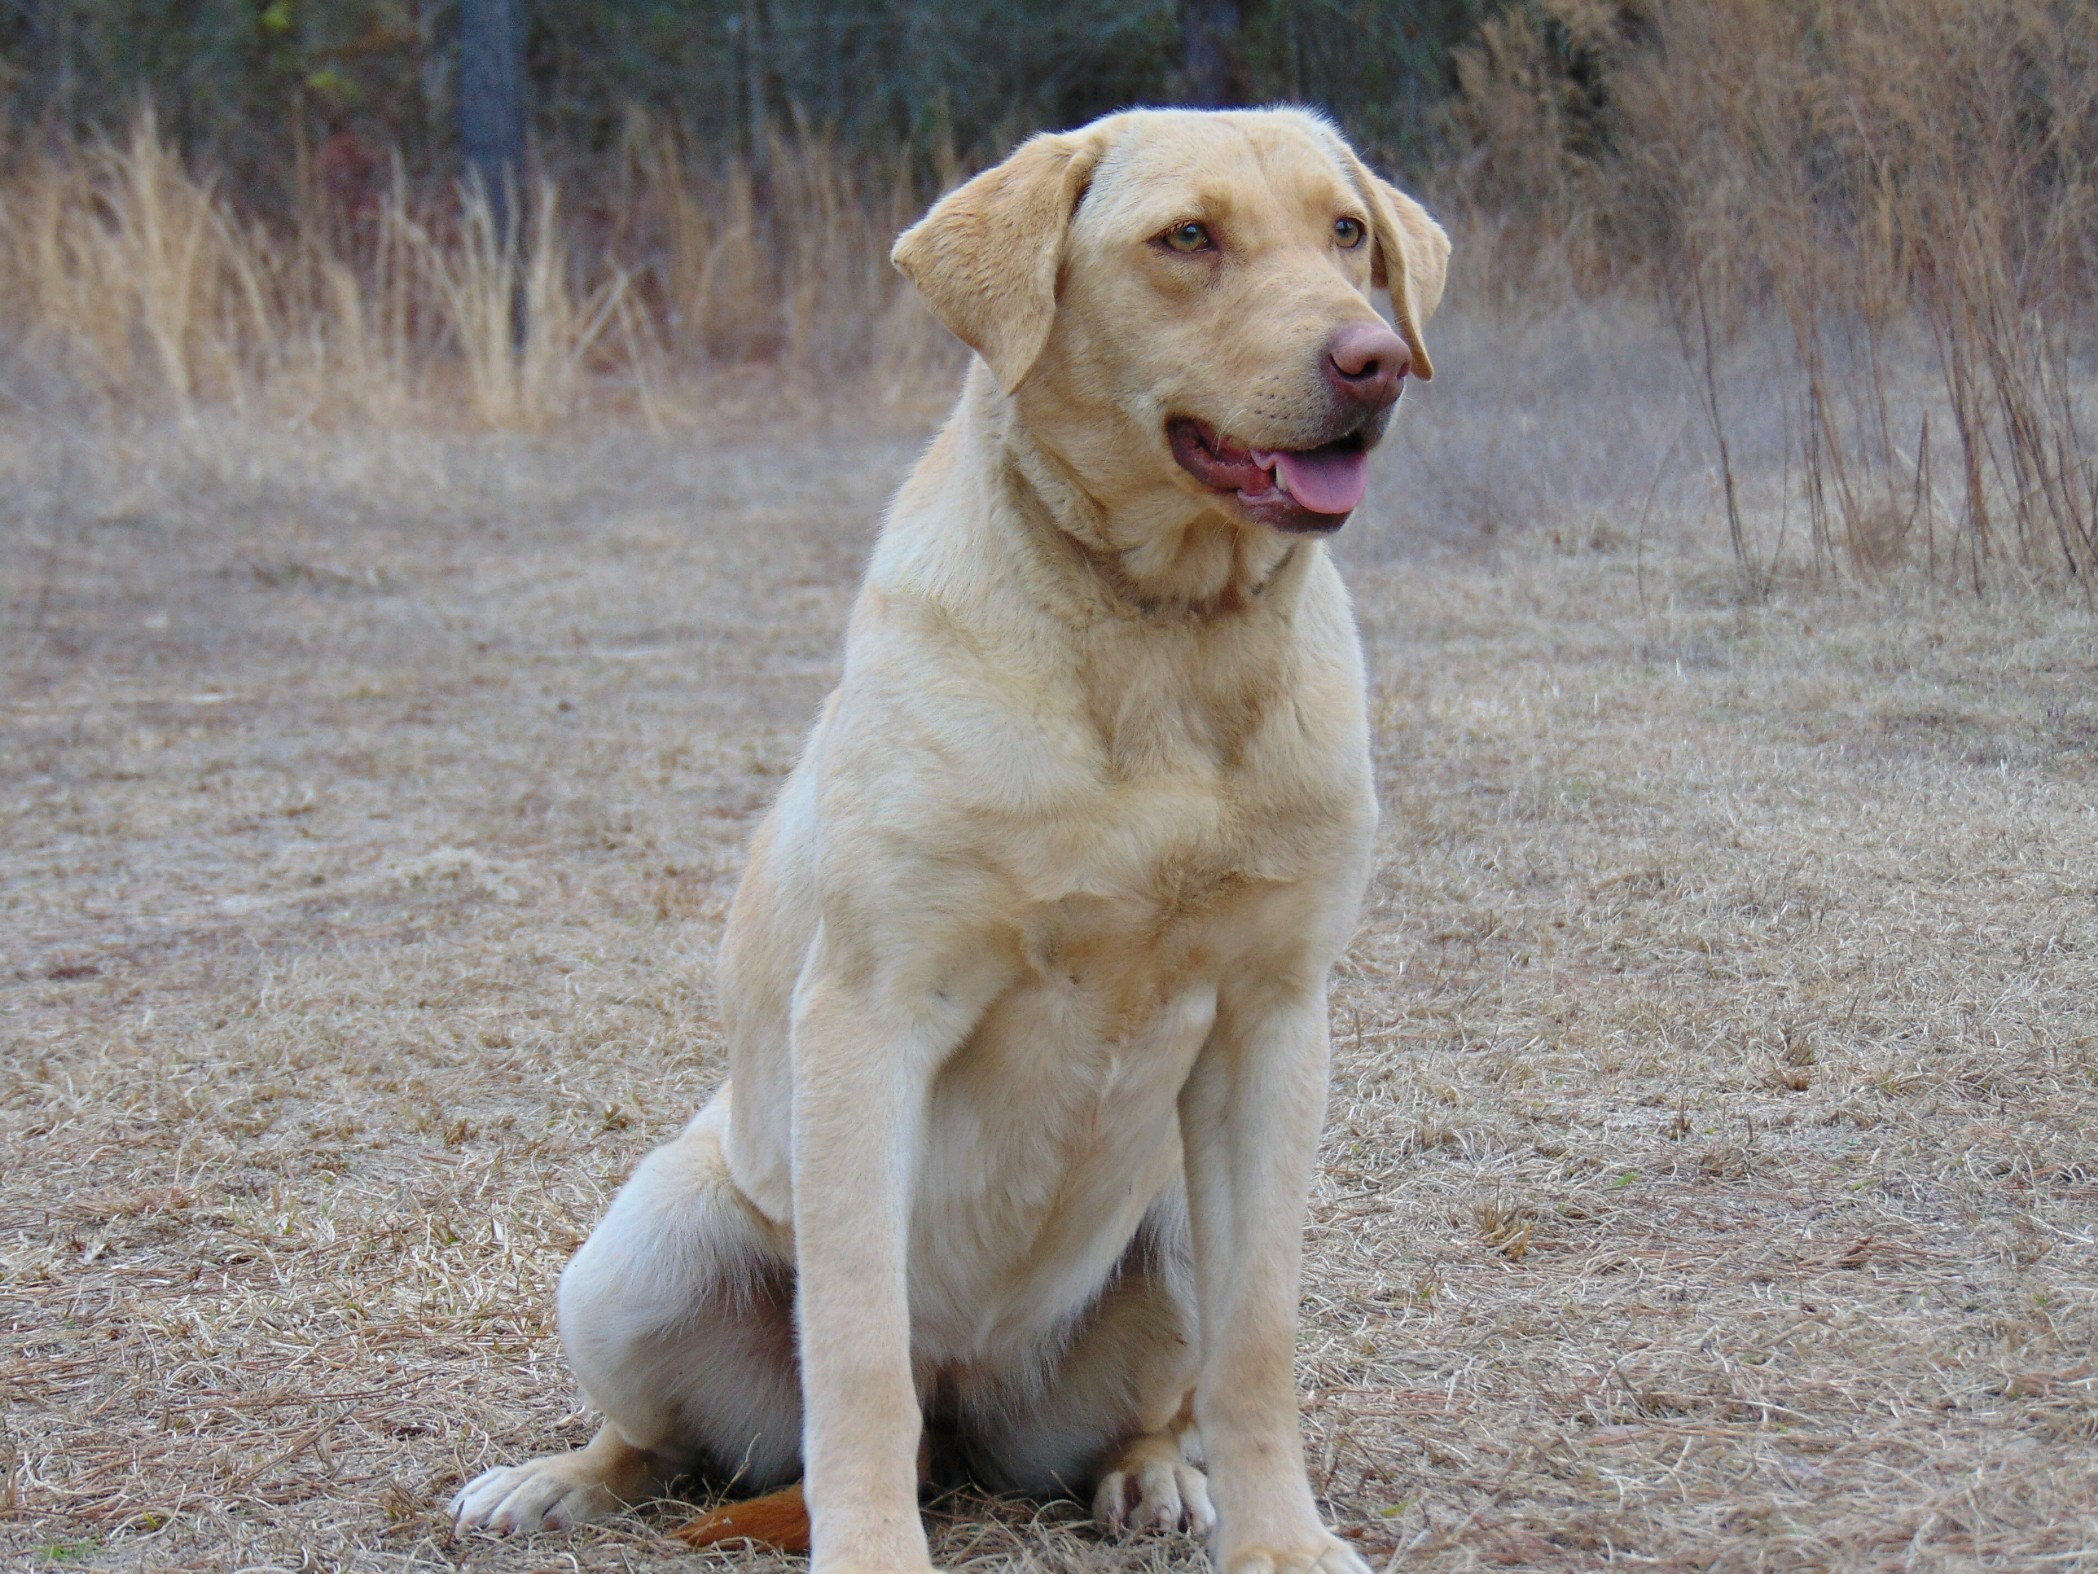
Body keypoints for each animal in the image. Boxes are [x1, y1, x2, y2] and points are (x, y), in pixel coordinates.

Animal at [453, 104, 1451, 1569]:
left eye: (1346, 233)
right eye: (1186, 238)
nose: (1371, 359)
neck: (1158, 634)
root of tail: (969, 1392)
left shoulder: (1273, 1024)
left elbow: (1258, 1339)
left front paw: (1279, 1538)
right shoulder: (872, 1016)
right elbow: (859, 1349)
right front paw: (870, 1547)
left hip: (1163, 1221)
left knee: (1150, 1406)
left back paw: (1156, 1476)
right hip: (642, 1243)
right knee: (671, 1435)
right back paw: (555, 1479)